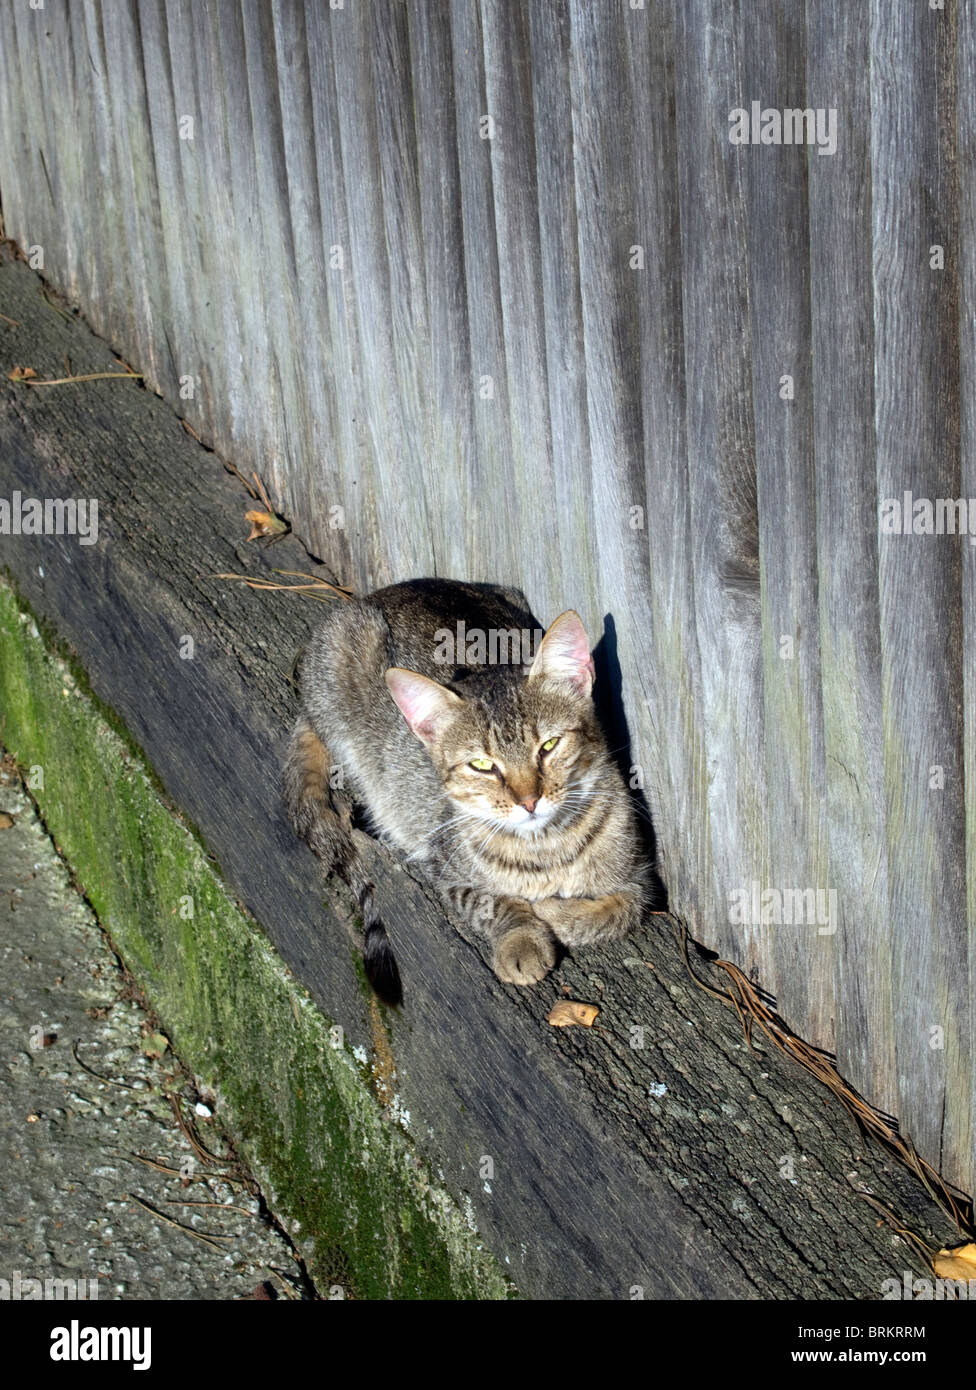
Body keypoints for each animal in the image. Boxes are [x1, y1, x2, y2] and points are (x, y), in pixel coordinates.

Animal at [283, 581, 650, 1006]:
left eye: (549, 745)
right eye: (482, 765)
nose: (529, 800)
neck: (545, 848)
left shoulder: (639, 879)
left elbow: (615, 914)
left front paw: (558, 913)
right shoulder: (446, 871)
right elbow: (496, 903)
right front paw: (523, 937)